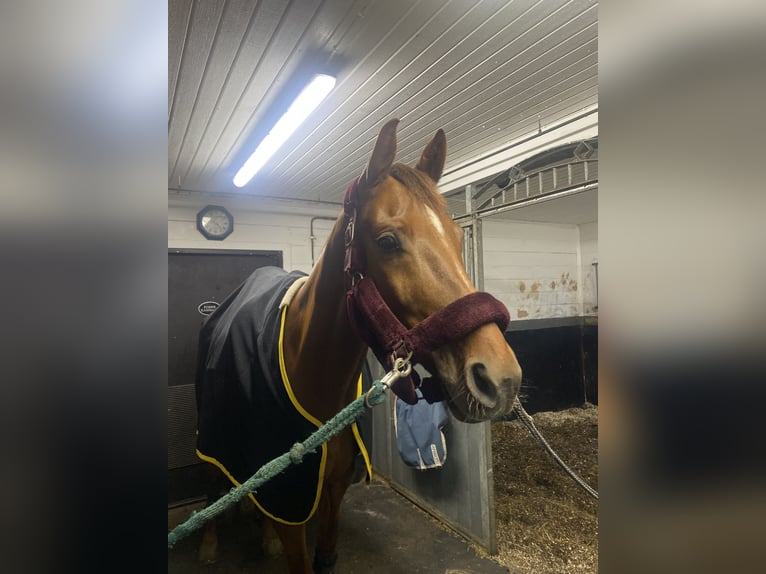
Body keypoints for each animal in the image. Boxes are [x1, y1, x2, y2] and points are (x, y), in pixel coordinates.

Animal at [195, 119, 524, 572]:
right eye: (387, 242)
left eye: (459, 237)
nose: (501, 378)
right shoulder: (292, 501)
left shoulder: (332, 491)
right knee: (211, 486)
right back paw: (208, 544)